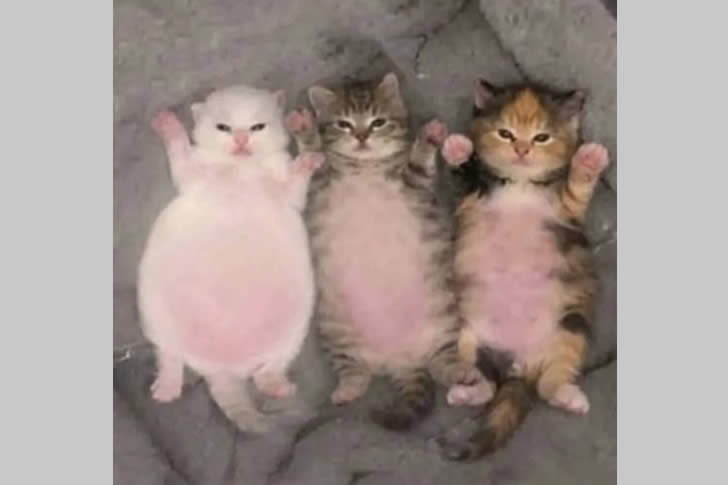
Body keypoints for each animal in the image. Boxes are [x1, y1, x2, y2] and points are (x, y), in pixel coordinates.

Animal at [137, 85, 323, 433]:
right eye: (222, 127)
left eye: (258, 126)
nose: (240, 139)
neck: (240, 170)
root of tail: (223, 370)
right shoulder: (190, 172)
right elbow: (180, 152)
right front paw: (169, 125)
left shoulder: (289, 192)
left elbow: (295, 184)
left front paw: (309, 157)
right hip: (155, 314)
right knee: (169, 357)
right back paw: (167, 388)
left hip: (295, 327)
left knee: (268, 370)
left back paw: (276, 385)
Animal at [283, 72, 492, 431]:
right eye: (344, 124)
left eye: (377, 122)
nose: (362, 136)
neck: (364, 167)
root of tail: (403, 360)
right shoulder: (320, 182)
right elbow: (314, 153)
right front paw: (304, 128)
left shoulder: (416, 182)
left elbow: (420, 163)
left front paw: (429, 137)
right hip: (336, 331)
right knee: (357, 373)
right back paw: (348, 390)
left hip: (445, 323)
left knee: (444, 366)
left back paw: (467, 379)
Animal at [436, 79, 610, 460]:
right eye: (505, 133)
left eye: (542, 137)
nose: (522, 149)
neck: (519, 182)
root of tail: (519, 363)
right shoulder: (469, 197)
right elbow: (463, 176)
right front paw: (457, 149)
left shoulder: (568, 206)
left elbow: (577, 187)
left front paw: (589, 159)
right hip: (463, 326)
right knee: (487, 383)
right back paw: (468, 385)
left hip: (570, 323)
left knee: (547, 384)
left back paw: (566, 395)